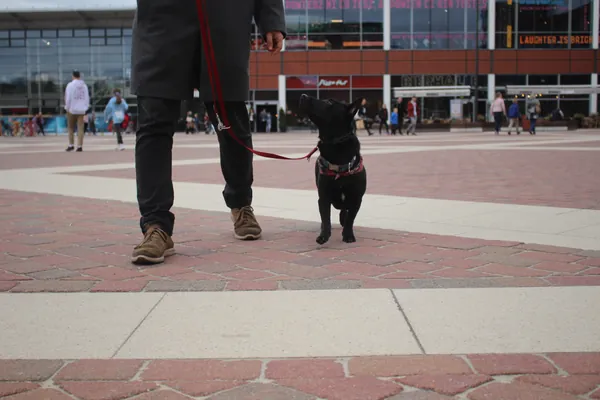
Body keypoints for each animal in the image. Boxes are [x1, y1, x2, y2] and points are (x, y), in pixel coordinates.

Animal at [298, 94, 367, 244]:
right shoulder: (323, 196)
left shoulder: (356, 198)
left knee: (345, 211)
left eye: (329, 102)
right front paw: (323, 235)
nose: (303, 95)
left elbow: (350, 219)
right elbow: (325, 217)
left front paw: (348, 235)